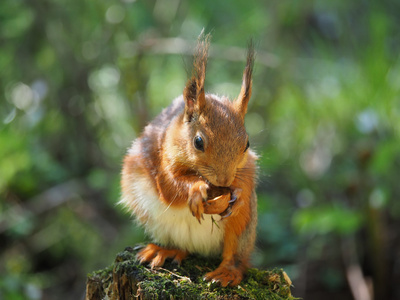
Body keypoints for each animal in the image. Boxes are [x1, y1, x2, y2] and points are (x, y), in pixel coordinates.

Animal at [119, 32, 258, 286]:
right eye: (198, 142)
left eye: (247, 144)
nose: (224, 181)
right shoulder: (162, 161)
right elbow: (170, 186)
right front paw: (195, 190)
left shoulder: (248, 166)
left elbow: (247, 179)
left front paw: (239, 193)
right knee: (181, 247)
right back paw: (164, 251)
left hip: (243, 226)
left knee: (236, 255)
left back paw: (227, 272)